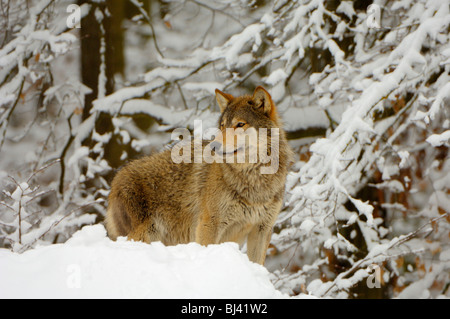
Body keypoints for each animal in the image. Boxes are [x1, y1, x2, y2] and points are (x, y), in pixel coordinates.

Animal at [107, 86, 294, 266]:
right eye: (222, 125)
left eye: (240, 124)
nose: (214, 146)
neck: (254, 179)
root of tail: (115, 181)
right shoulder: (209, 224)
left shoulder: (262, 229)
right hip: (144, 236)